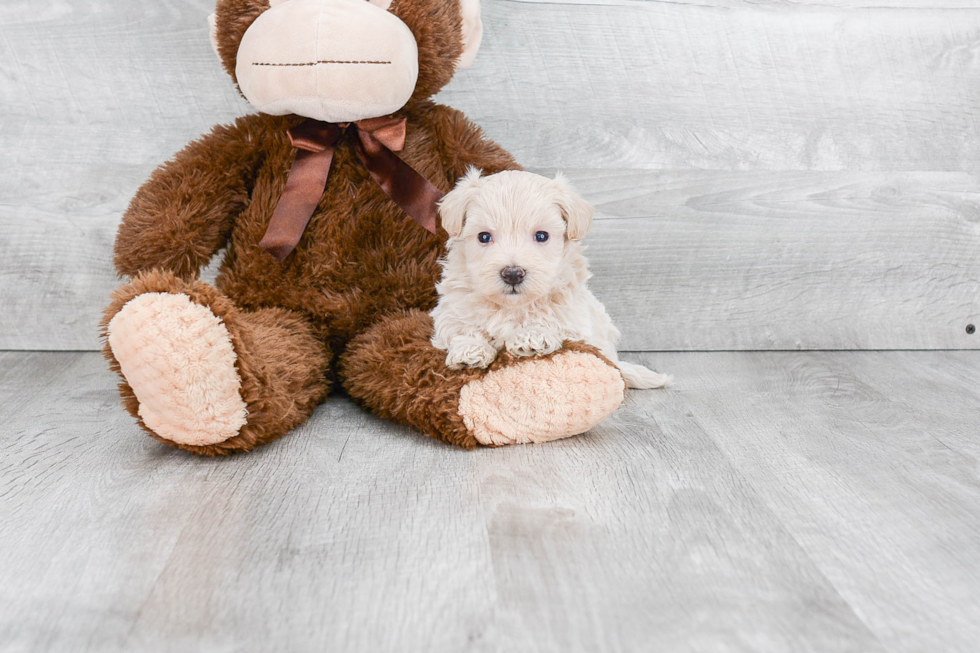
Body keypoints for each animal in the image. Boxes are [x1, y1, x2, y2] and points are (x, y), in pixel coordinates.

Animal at [432, 168, 668, 388]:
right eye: (483, 237)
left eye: (541, 236)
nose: (513, 274)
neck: (512, 307)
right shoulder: (454, 308)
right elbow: (460, 327)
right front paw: (469, 350)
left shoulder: (574, 320)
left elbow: (553, 322)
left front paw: (532, 335)